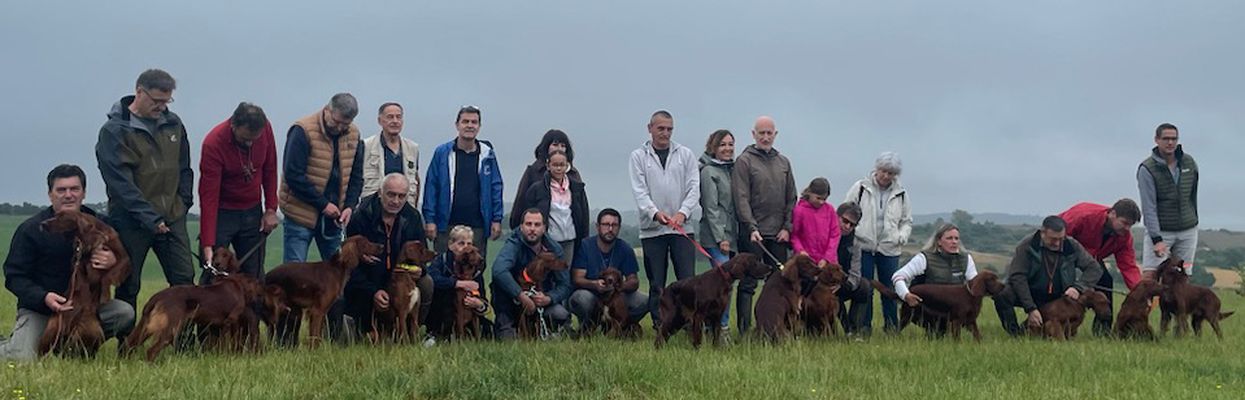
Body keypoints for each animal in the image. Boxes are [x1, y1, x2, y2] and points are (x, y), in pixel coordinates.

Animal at [122, 246, 266, 358]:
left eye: (225, 255)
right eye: (215, 255)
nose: (217, 263)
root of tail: (157, 296)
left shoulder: (216, 326)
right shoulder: (231, 321)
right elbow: (231, 344)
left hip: (147, 326)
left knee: (129, 343)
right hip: (171, 327)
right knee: (151, 350)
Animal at [871, 267, 1005, 338]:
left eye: (996, 278)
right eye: (992, 279)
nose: (1004, 285)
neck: (970, 295)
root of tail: (908, 291)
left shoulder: (971, 321)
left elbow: (977, 335)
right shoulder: (956, 320)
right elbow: (957, 337)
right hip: (907, 315)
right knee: (896, 329)